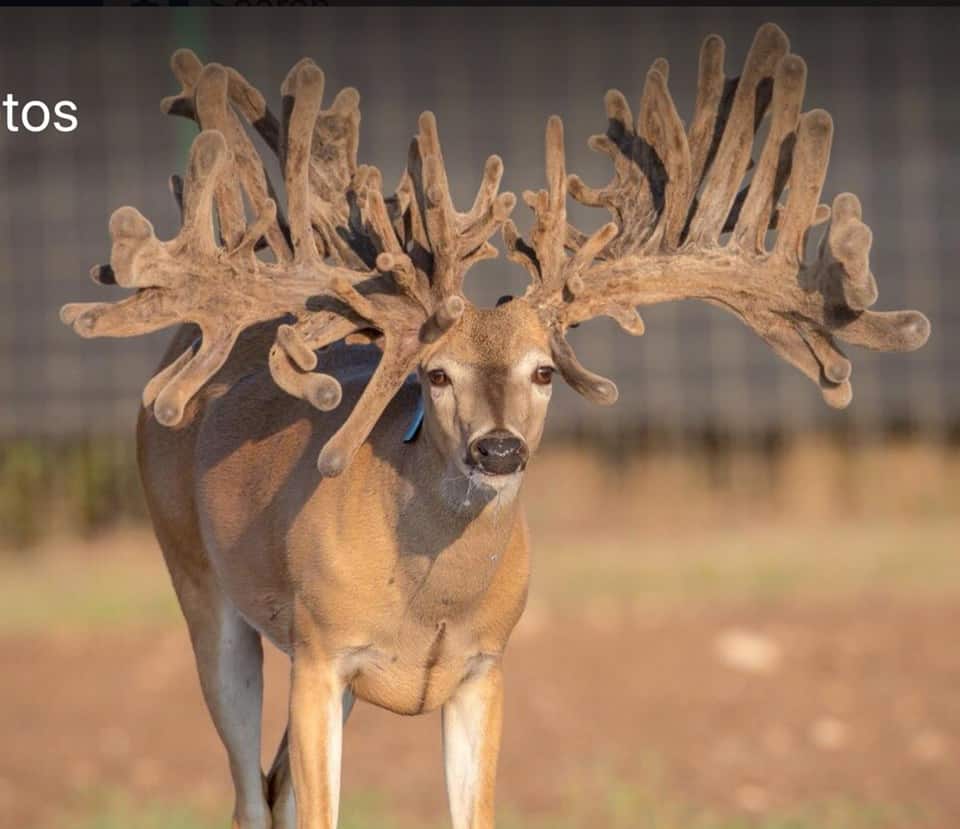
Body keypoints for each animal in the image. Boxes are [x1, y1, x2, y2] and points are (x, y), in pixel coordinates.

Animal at [60, 23, 930, 829]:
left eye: (544, 370)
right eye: (435, 373)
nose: (499, 447)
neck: (427, 597)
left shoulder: (484, 668)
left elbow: (469, 811)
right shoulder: (320, 653)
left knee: (271, 790)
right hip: (201, 586)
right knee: (248, 792)